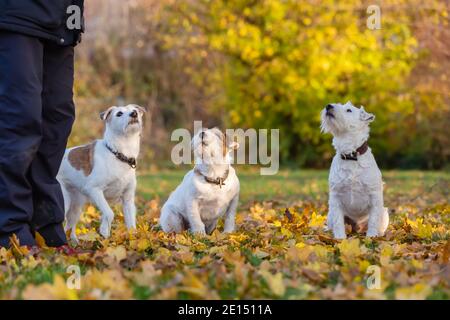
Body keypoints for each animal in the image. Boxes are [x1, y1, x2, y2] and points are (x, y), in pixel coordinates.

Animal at [56, 105, 146, 242]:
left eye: (134, 110)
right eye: (119, 113)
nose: (134, 114)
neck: (118, 153)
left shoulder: (128, 200)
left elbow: (131, 224)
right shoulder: (94, 190)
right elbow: (109, 213)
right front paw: (104, 230)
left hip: (76, 205)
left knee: (69, 226)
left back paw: (74, 242)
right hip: (64, 200)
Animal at [320, 101, 390, 239]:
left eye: (349, 110)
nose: (328, 106)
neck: (351, 155)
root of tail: (357, 228)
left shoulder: (374, 195)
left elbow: (373, 220)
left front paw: (371, 237)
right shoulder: (335, 196)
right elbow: (338, 221)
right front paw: (340, 238)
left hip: (384, 213)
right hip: (329, 214)